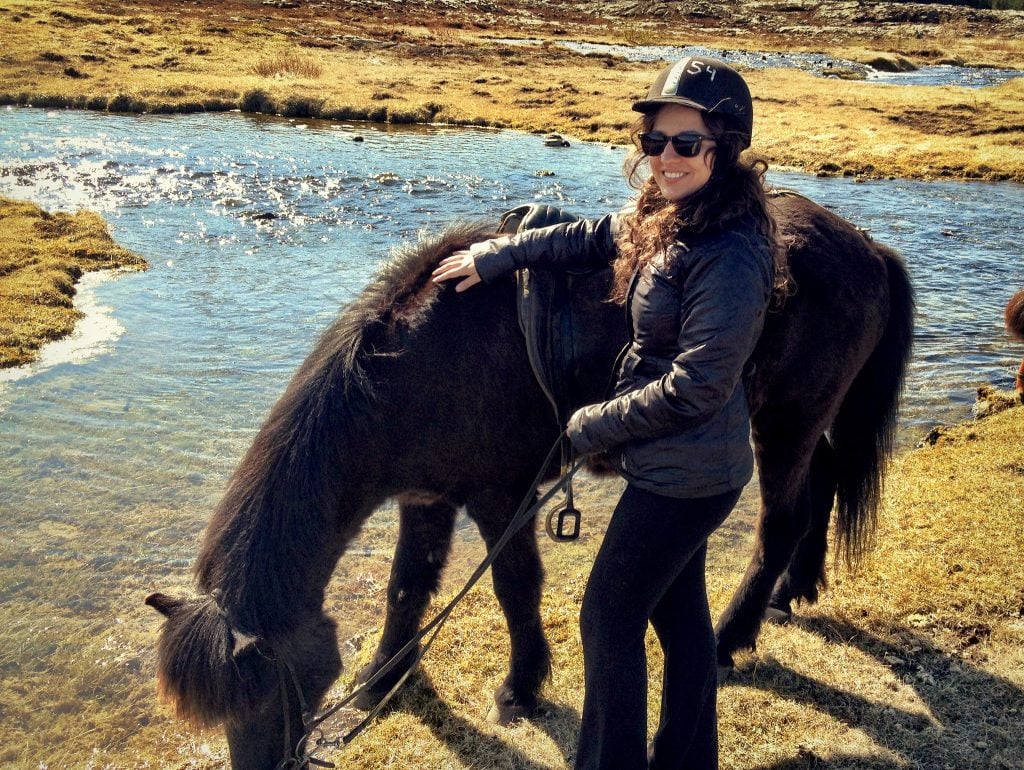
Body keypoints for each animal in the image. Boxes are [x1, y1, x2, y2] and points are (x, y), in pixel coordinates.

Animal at [144, 192, 913, 770]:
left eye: (266, 691)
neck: (416, 369)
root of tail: (867, 247)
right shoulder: (426, 499)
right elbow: (408, 585)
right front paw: (386, 677)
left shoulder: (500, 497)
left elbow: (515, 586)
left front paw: (520, 688)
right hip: (804, 425)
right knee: (821, 490)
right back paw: (792, 594)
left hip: (785, 423)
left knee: (780, 521)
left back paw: (731, 638)